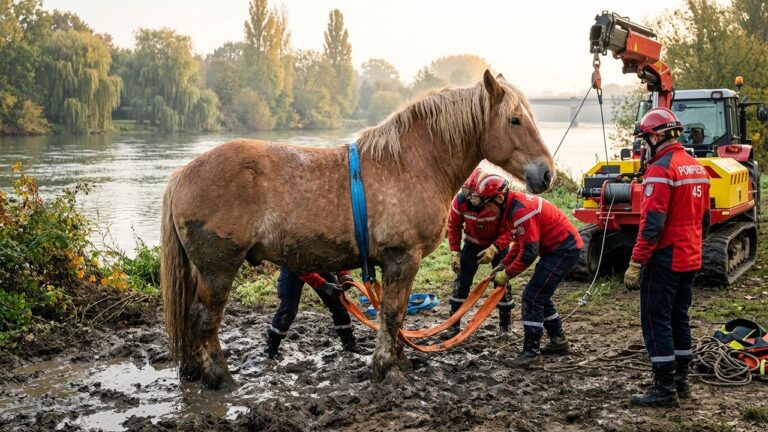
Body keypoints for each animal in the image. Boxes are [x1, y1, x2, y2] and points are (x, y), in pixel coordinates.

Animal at [161, 70, 555, 389]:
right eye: (515, 120)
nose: (546, 173)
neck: (411, 165)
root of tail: (184, 174)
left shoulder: (398, 263)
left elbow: (395, 315)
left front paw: (399, 362)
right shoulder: (402, 258)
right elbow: (392, 314)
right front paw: (387, 370)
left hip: (201, 270)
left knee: (190, 316)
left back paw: (194, 371)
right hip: (218, 269)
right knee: (204, 319)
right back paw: (219, 377)